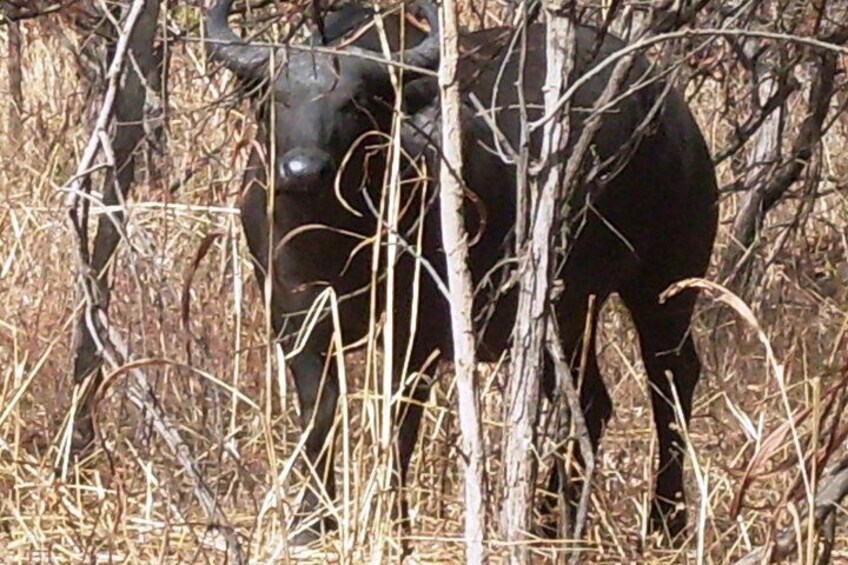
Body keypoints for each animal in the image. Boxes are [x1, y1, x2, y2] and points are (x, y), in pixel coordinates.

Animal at [205, 0, 716, 548]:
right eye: (277, 98)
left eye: (355, 103)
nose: (303, 171)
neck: (336, 243)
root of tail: (673, 114)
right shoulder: (298, 326)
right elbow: (319, 417)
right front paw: (310, 525)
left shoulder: (415, 338)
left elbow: (399, 425)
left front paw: (395, 526)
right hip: (566, 312)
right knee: (587, 401)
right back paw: (551, 521)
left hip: (663, 283)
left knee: (670, 379)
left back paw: (667, 519)